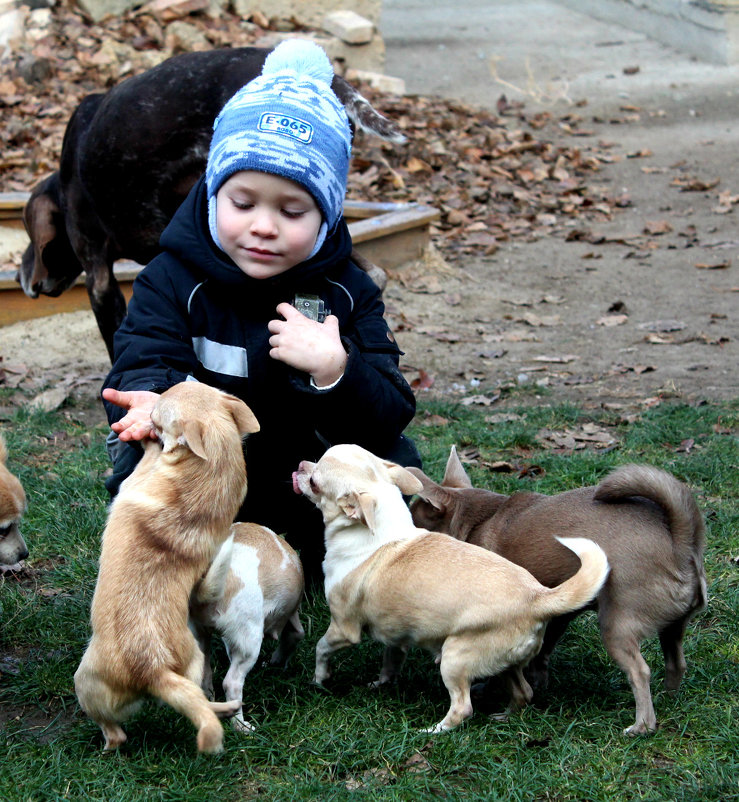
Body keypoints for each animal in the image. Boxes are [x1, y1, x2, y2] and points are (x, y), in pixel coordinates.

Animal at [74, 382, 260, 752]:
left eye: (158, 414)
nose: (147, 413)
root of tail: (154, 671)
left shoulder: (135, 480)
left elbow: (148, 459)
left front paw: (148, 442)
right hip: (194, 661)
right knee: (200, 697)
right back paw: (226, 708)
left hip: (85, 682)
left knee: (115, 733)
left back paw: (106, 747)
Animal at [192, 520, 308, 732]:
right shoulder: (291, 618)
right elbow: (294, 637)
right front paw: (277, 662)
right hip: (250, 643)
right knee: (232, 683)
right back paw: (241, 726)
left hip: (198, 636)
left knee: (204, 676)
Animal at [292, 440, 608, 736]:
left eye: (314, 482)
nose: (301, 463)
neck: (381, 531)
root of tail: (539, 598)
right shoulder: (396, 635)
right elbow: (390, 661)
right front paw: (382, 683)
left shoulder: (343, 628)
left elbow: (321, 647)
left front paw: (319, 679)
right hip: (506, 664)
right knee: (523, 692)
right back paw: (503, 717)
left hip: (455, 658)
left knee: (463, 707)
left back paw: (433, 730)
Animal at [408, 446, 708, 736]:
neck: (476, 520)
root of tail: (680, 545)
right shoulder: (558, 612)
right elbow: (542, 652)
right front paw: (536, 680)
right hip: (672, 628)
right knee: (676, 662)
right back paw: (668, 699)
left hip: (616, 627)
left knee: (639, 672)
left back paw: (642, 725)